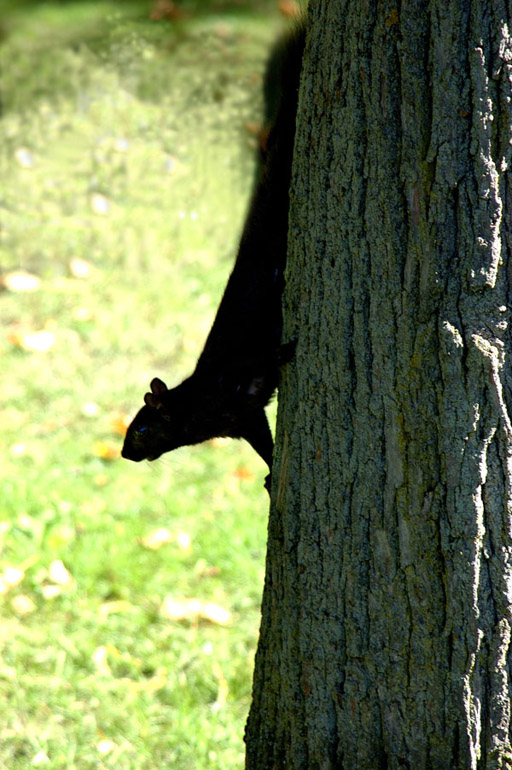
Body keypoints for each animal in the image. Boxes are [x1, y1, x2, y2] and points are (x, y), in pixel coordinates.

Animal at [121, 28, 304, 492]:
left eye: (142, 428)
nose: (124, 453)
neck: (197, 405)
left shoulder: (239, 390)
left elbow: (265, 363)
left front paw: (287, 351)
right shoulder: (242, 420)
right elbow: (263, 443)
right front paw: (270, 476)